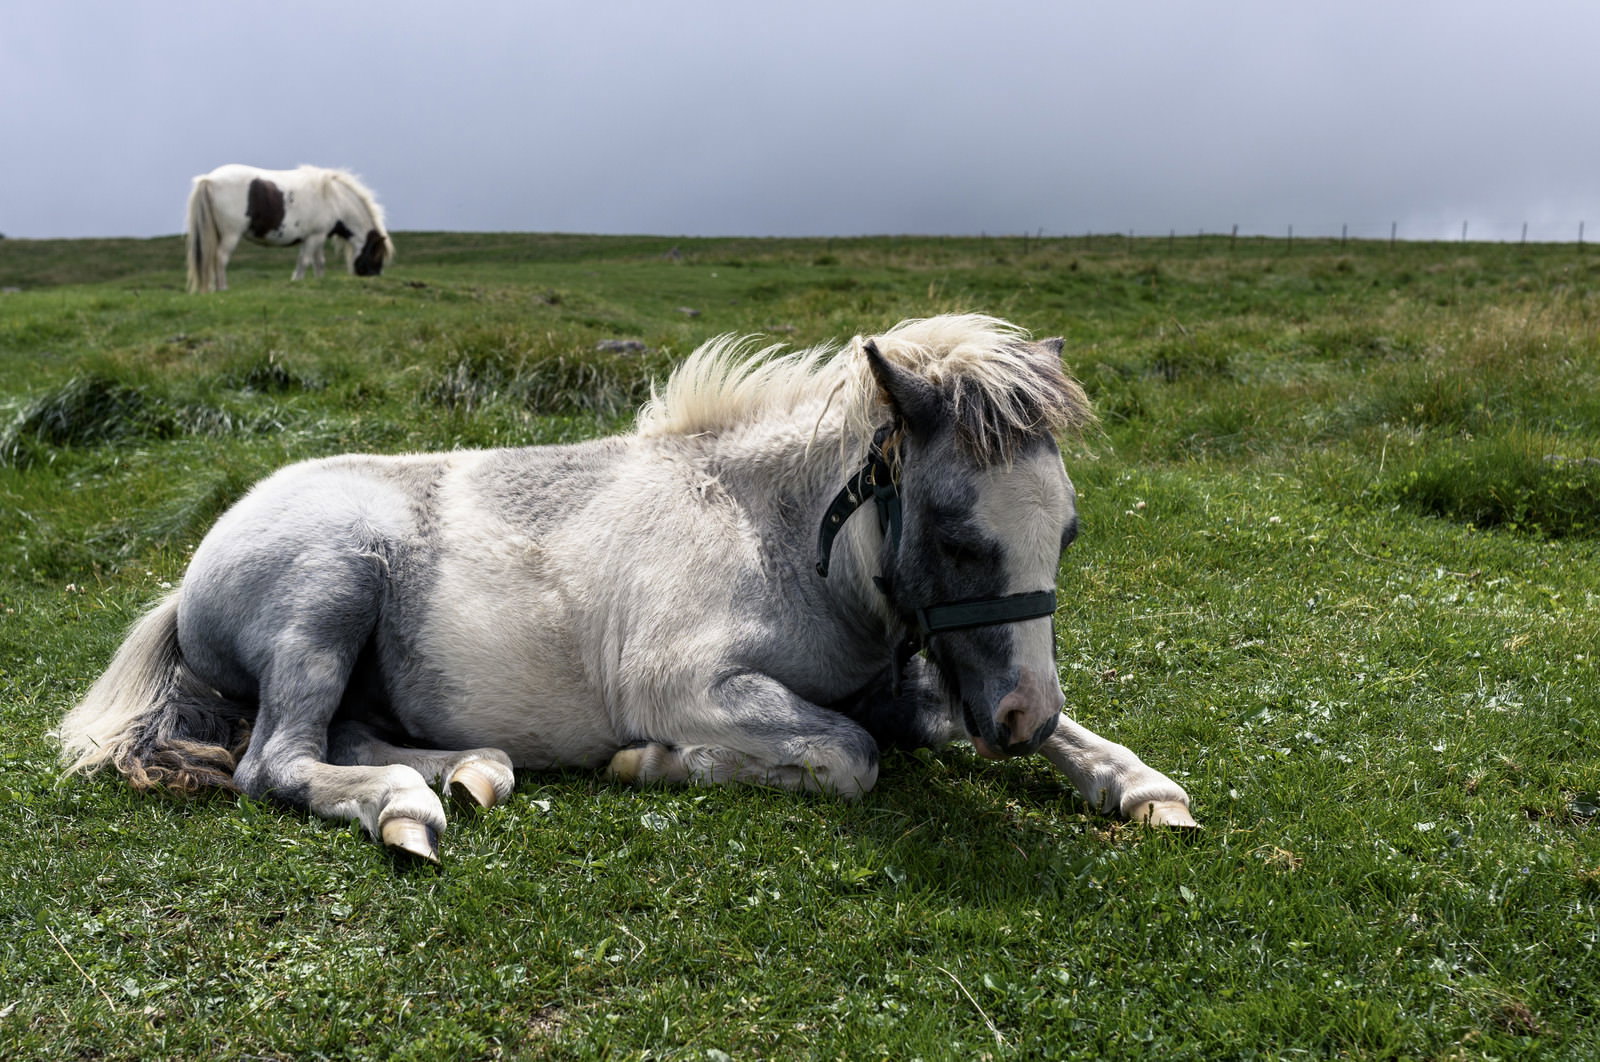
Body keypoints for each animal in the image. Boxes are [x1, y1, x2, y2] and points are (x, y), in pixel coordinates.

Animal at [56, 314, 1195, 863]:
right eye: (959, 538)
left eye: (1066, 532)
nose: (1017, 717)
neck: (778, 537)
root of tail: (194, 571)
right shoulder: (692, 686)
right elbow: (850, 756)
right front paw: (657, 763)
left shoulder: (926, 682)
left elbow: (1055, 735)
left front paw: (1142, 787)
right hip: (329, 593)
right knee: (277, 761)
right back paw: (403, 808)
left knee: (343, 737)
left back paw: (469, 771)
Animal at [184, 164, 393, 293]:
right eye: (377, 255)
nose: (374, 276)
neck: (334, 199)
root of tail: (209, 179)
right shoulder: (314, 237)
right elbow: (304, 262)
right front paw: (297, 282)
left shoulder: (316, 237)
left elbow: (319, 262)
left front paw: (319, 281)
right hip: (231, 234)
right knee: (220, 258)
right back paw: (223, 289)